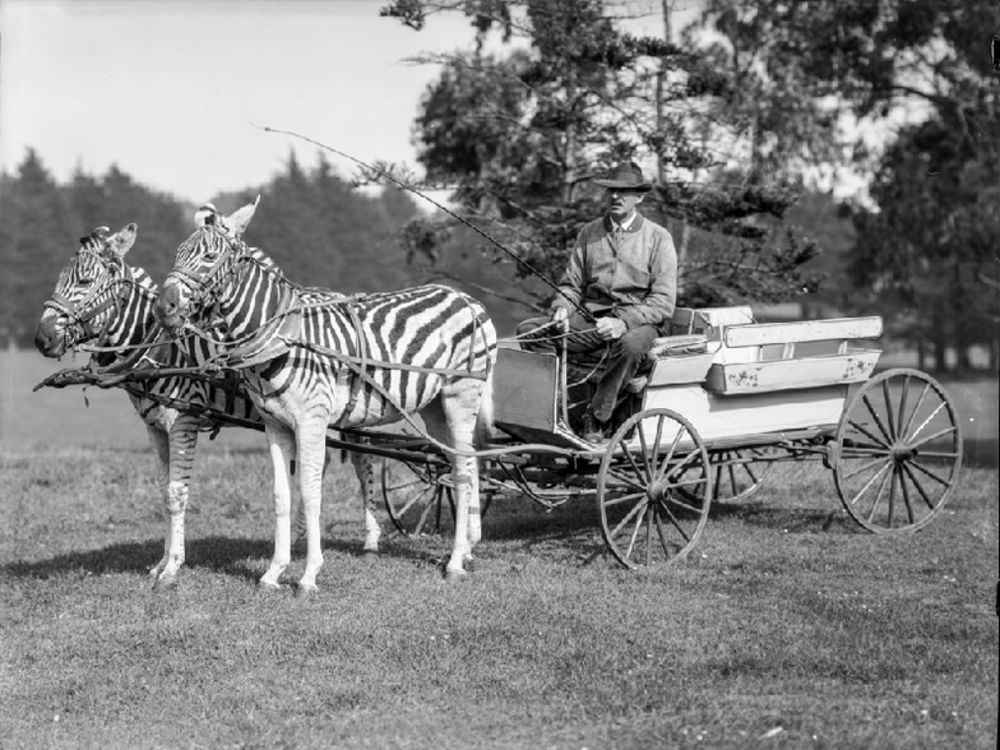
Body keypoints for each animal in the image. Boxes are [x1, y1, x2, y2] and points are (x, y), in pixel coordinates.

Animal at [34, 220, 378, 592]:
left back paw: (371, 539)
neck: (158, 349)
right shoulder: (155, 428)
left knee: (364, 463)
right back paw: (301, 535)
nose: (41, 339)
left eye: (84, 281)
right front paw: (161, 563)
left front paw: (172, 567)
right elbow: (164, 492)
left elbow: (177, 493)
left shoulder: (183, 420)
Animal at [153, 200, 496, 592]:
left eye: (210, 257)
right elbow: (281, 494)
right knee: (459, 464)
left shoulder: (311, 420)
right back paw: (466, 551)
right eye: (177, 253)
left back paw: (454, 561)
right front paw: (273, 572)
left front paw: (308, 575)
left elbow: (310, 490)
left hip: (461, 396)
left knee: (463, 470)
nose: (163, 309)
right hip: (435, 407)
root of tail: (468, 299)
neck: (280, 336)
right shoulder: (275, 425)